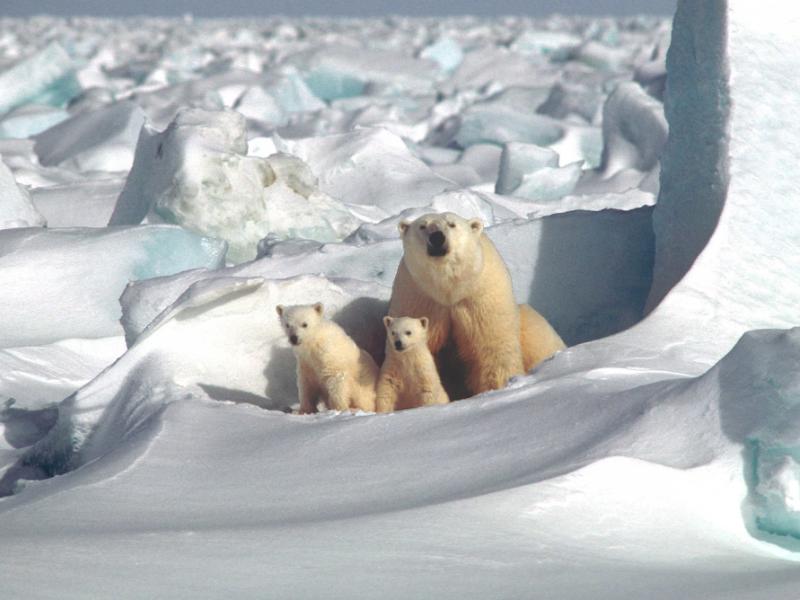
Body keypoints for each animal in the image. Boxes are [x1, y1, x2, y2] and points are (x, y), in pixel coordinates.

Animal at [386, 212, 564, 398]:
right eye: (423, 226)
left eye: (452, 224)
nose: (437, 237)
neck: (449, 289)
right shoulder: (419, 299)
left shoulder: (480, 298)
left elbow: (492, 348)